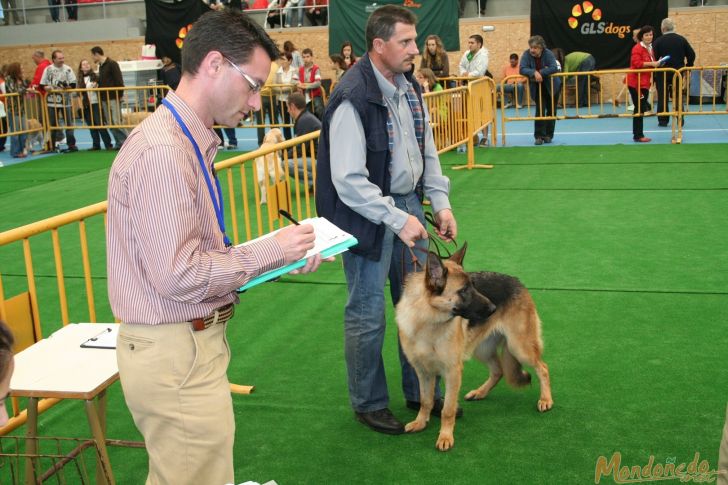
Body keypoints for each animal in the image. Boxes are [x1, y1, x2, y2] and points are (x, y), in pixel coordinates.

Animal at [398, 244, 552, 452]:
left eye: (473, 286)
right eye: (464, 290)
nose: (493, 308)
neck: (427, 321)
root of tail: (516, 280)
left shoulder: (453, 372)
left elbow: (448, 410)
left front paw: (445, 436)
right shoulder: (423, 372)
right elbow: (425, 400)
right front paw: (421, 422)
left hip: (519, 347)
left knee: (542, 368)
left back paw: (546, 399)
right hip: (483, 350)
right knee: (498, 371)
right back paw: (480, 392)